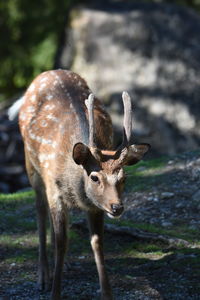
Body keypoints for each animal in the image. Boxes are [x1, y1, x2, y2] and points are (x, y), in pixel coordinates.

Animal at [8, 69, 150, 300]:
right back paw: (43, 276)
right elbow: (61, 241)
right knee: (39, 211)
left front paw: (107, 293)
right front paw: (55, 292)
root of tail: (47, 72)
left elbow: (97, 242)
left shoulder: (95, 206)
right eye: (94, 177)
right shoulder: (54, 189)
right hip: (31, 166)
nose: (117, 207)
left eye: (124, 178)